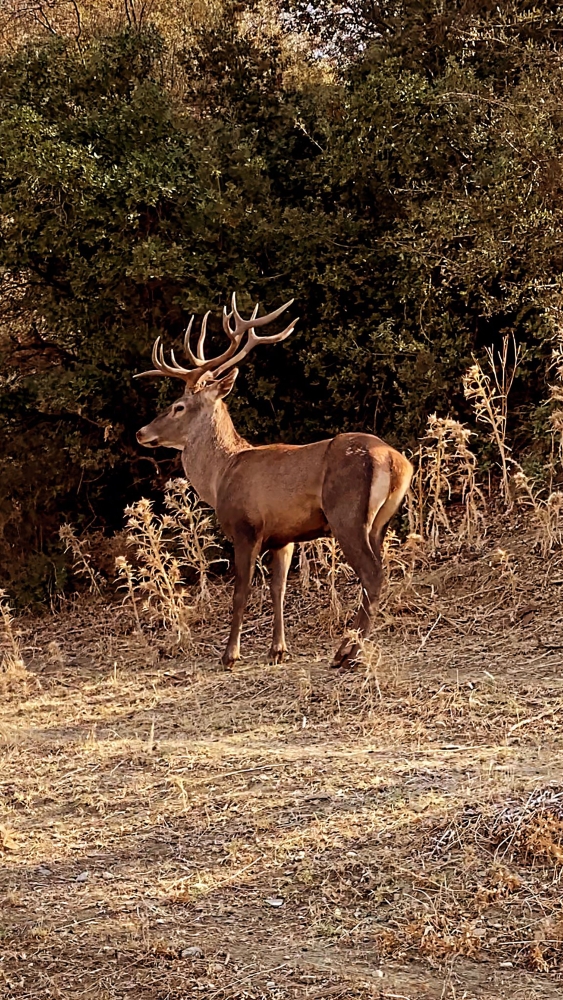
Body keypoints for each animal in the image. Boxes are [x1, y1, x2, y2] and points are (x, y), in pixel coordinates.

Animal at [134, 296, 412, 672]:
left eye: (178, 406)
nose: (141, 432)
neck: (223, 474)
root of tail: (396, 462)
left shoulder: (245, 527)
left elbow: (241, 592)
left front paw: (230, 655)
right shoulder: (283, 536)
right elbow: (278, 589)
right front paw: (278, 650)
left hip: (347, 514)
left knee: (372, 574)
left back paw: (346, 652)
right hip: (380, 522)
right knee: (378, 571)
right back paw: (352, 648)